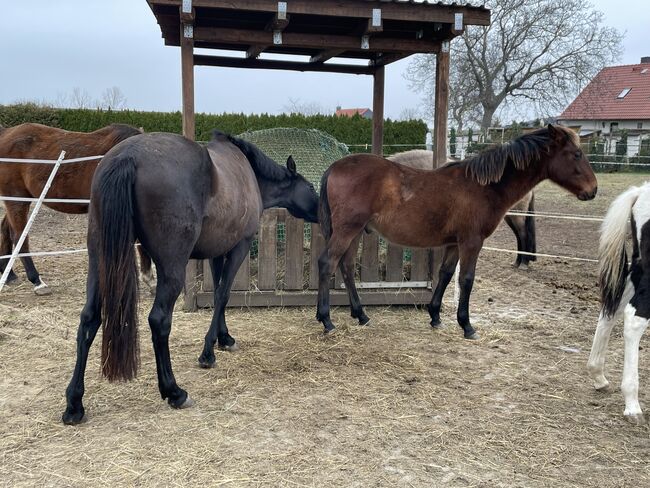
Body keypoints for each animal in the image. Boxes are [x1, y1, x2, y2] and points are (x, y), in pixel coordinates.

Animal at [0, 124, 148, 296]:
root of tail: (6, 133)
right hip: (16, 199)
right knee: (19, 237)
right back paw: (37, 281)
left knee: (6, 230)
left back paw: (9, 274)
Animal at [62, 130, 320, 424]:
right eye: (311, 188)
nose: (323, 211)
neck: (248, 173)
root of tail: (127, 156)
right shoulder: (240, 246)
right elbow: (223, 294)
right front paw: (208, 352)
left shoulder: (217, 253)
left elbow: (219, 294)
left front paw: (224, 338)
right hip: (171, 269)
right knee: (159, 320)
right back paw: (174, 391)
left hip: (100, 260)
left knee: (89, 319)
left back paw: (74, 403)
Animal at [388, 150, 536, 268]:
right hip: (509, 216)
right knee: (518, 234)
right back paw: (518, 261)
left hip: (516, 215)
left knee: (523, 233)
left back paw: (523, 263)